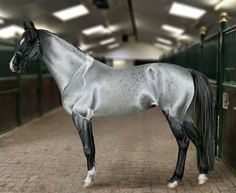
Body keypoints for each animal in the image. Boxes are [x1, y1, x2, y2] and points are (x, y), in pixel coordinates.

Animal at [9, 21, 214, 188]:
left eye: (29, 41)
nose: (13, 65)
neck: (77, 74)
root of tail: (187, 71)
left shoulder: (80, 117)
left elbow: (87, 148)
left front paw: (88, 180)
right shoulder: (87, 119)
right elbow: (92, 147)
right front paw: (91, 177)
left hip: (174, 115)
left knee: (184, 142)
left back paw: (174, 180)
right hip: (184, 115)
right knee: (198, 138)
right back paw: (202, 176)